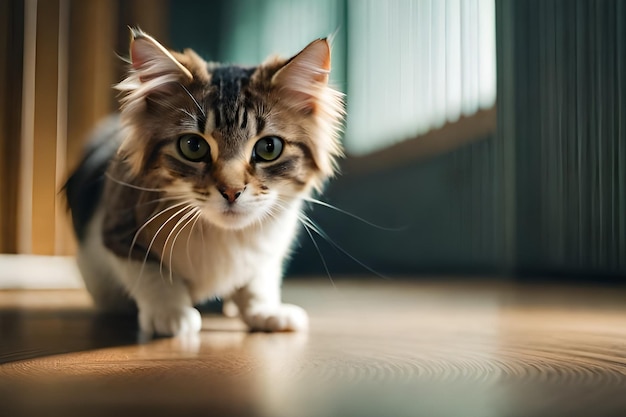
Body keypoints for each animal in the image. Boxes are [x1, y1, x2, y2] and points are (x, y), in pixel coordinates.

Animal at [64, 28, 342, 334]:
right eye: (193, 147)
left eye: (269, 148)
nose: (232, 191)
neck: (223, 235)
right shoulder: (119, 231)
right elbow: (153, 276)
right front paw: (171, 314)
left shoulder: (268, 251)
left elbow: (256, 283)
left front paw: (265, 312)